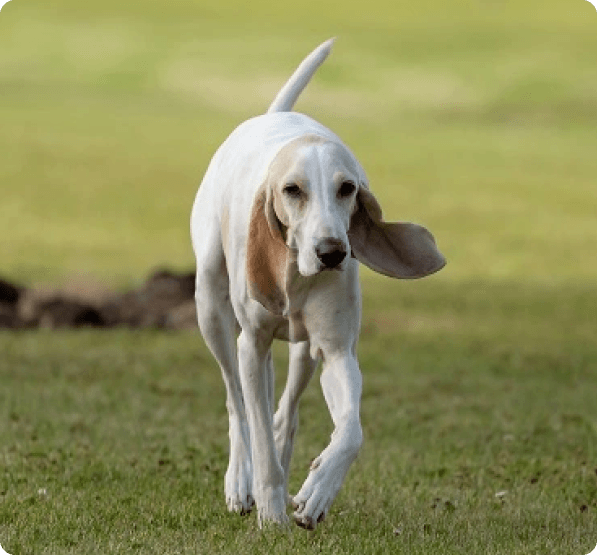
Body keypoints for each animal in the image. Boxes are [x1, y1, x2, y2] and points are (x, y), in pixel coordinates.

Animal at [189, 39, 444, 528]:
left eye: (347, 188)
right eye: (293, 190)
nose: (332, 253)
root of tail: (272, 116)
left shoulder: (337, 349)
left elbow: (351, 431)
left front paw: (317, 491)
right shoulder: (252, 345)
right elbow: (255, 432)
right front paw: (270, 512)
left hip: (304, 349)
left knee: (285, 411)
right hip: (210, 306)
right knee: (236, 403)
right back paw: (240, 481)